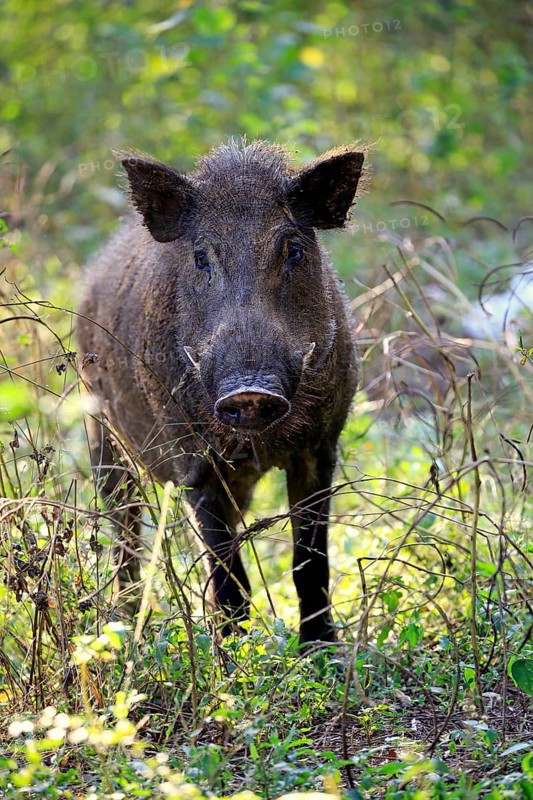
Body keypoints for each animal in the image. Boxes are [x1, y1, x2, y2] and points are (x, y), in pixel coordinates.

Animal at [77, 139, 365, 647]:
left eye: (294, 249)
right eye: (200, 257)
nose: (250, 391)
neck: (262, 442)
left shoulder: (320, 448)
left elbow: (310, 562)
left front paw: (322, 649)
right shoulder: (193, 461)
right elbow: (228, 574)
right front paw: (235, 653)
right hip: (101, 434)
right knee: (124, 528)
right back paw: (126, 623)